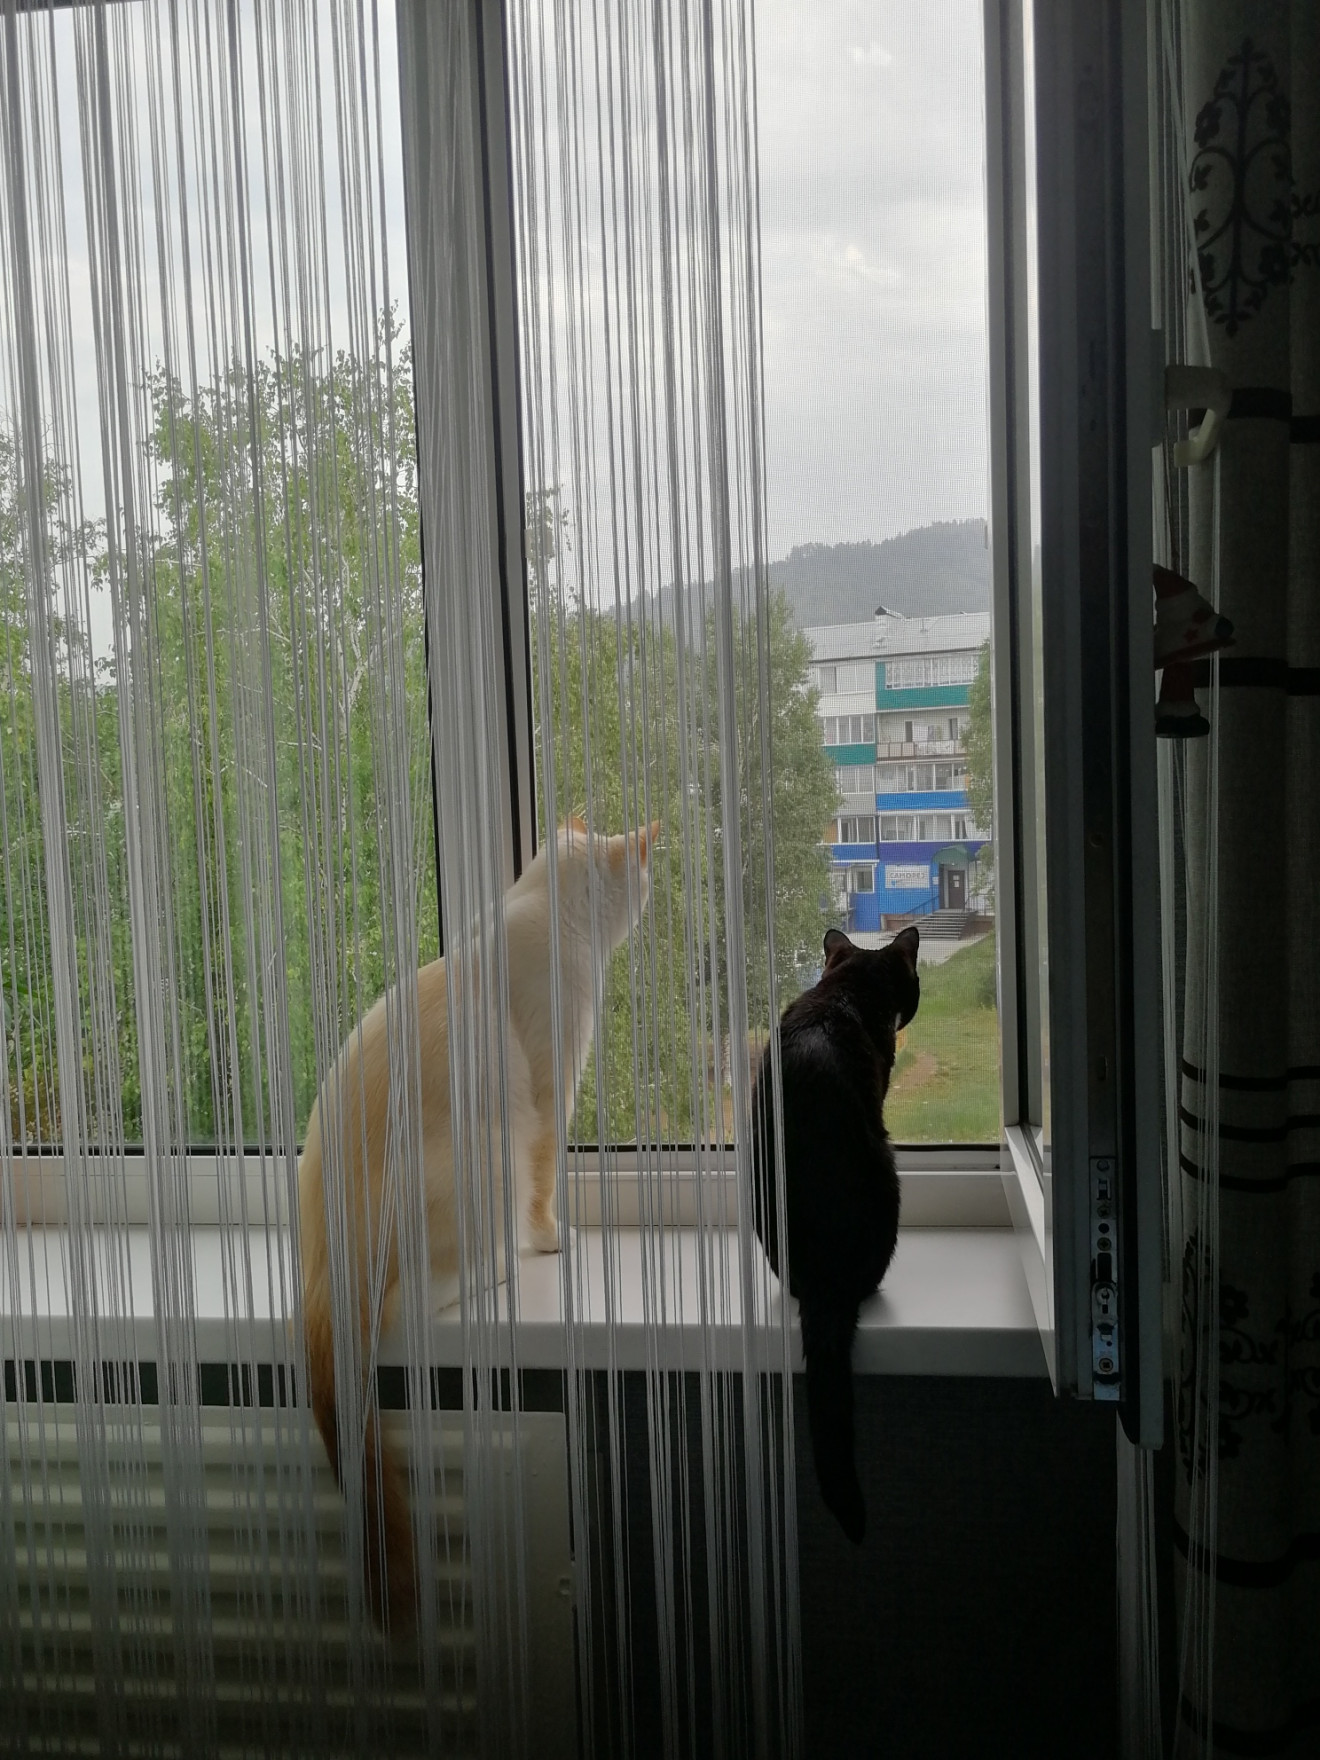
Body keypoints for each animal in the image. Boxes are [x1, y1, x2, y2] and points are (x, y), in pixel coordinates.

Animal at [299, 817, 657, 1626]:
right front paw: (553, 1240)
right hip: (486, 1161)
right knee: (417, 1295)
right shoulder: (551, 1095)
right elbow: (547, 1189)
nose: (650, 896)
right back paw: (497, 1267)